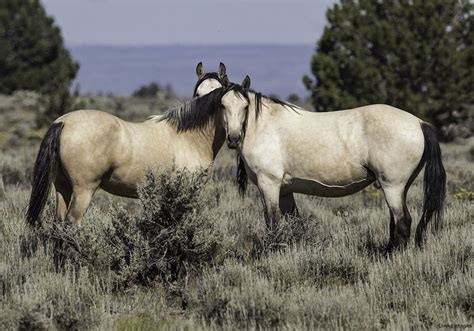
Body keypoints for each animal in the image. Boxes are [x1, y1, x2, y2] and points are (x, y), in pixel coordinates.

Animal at [26, 62, 231, 228]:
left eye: (219, 90)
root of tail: (63, 122)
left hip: (62, 187)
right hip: (83, 191)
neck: (189, 136)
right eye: (198, 94)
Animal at [183, 76, 446, 252]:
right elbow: (294, 224)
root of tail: (419, 123)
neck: (263, 125)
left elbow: (272, 223)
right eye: (222, 105)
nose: (234, 138)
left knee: (403, 223)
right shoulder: (285, 191)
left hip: (392, 186)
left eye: (245, 106)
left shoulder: (269, 186)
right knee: (396, 222)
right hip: (400, 187)